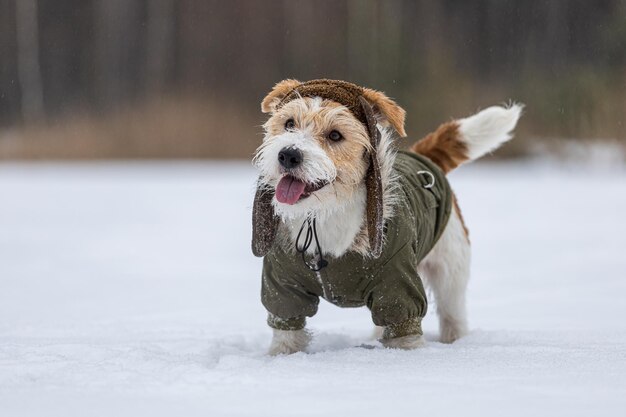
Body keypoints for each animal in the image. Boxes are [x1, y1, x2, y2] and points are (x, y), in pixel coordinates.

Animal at [251, 79, 520, 354]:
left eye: (335, 135)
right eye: (289, 123)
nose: (288, 154)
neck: (325, 214)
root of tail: (421, 157)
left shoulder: (398, 287)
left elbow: (404, 332)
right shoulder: (283, 287)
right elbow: (287, 332)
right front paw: (281, 357)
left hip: (450, 272)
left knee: (452, 314)